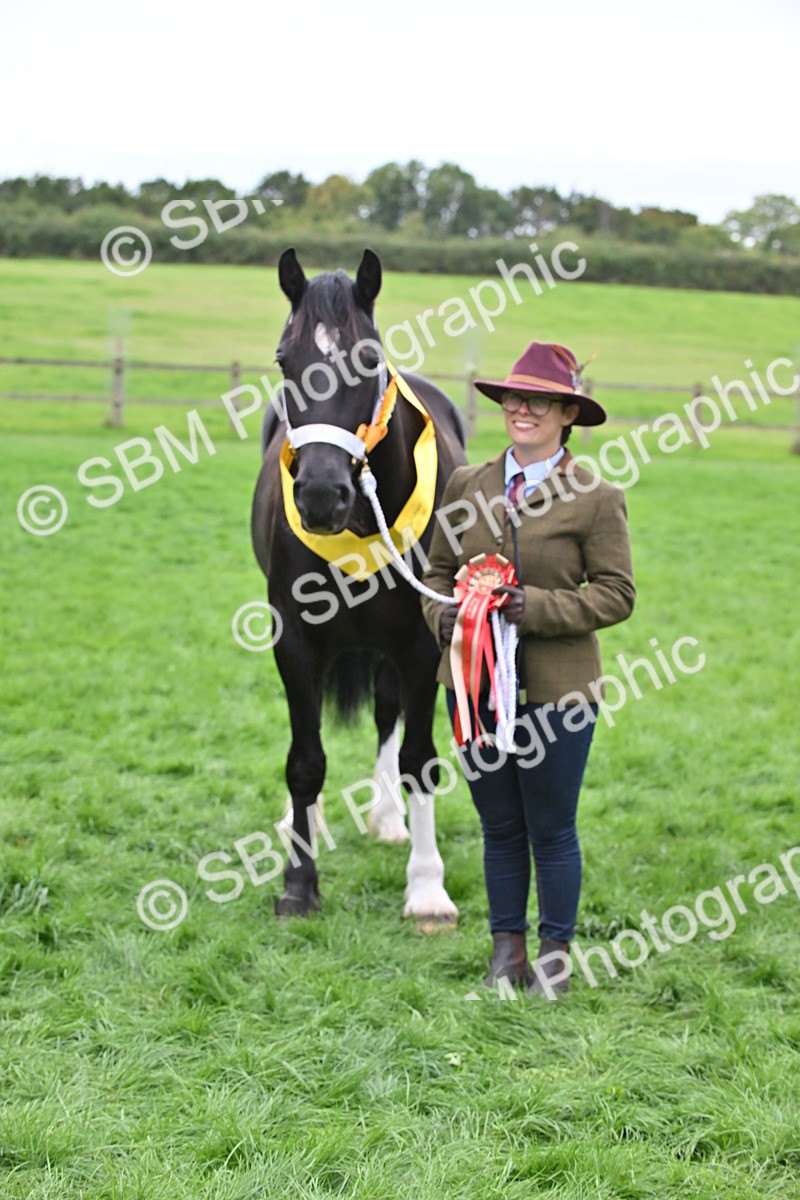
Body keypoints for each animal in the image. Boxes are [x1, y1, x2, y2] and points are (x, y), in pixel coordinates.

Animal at [251, 247, 467, 926]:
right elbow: (305, 760)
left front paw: (427, 888)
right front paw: (299, 883)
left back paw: (388, 818)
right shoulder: (295, 642)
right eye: (284, 360)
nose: (322, 495)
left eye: (368, 360)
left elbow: (418, 759)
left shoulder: (421, 646)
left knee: (387, 714)